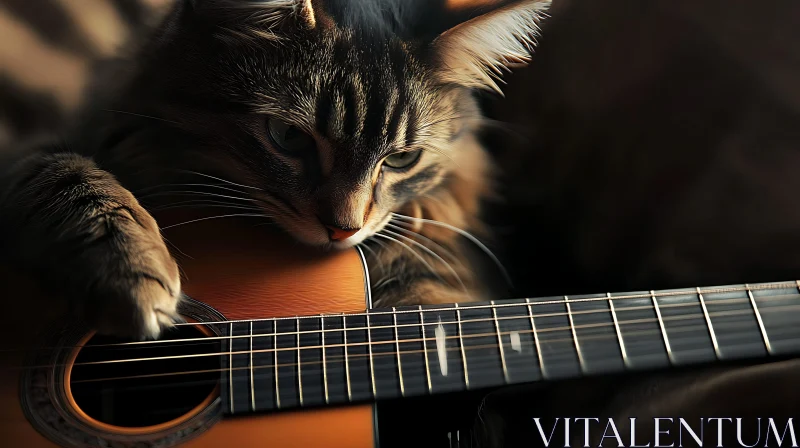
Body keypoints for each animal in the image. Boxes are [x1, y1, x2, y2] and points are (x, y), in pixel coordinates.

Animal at [0, 0, 552, 342]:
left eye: (400, 159)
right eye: (288, 137)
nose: (342, 230)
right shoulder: (39, 147)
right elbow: (70, 177)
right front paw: (130, 272)